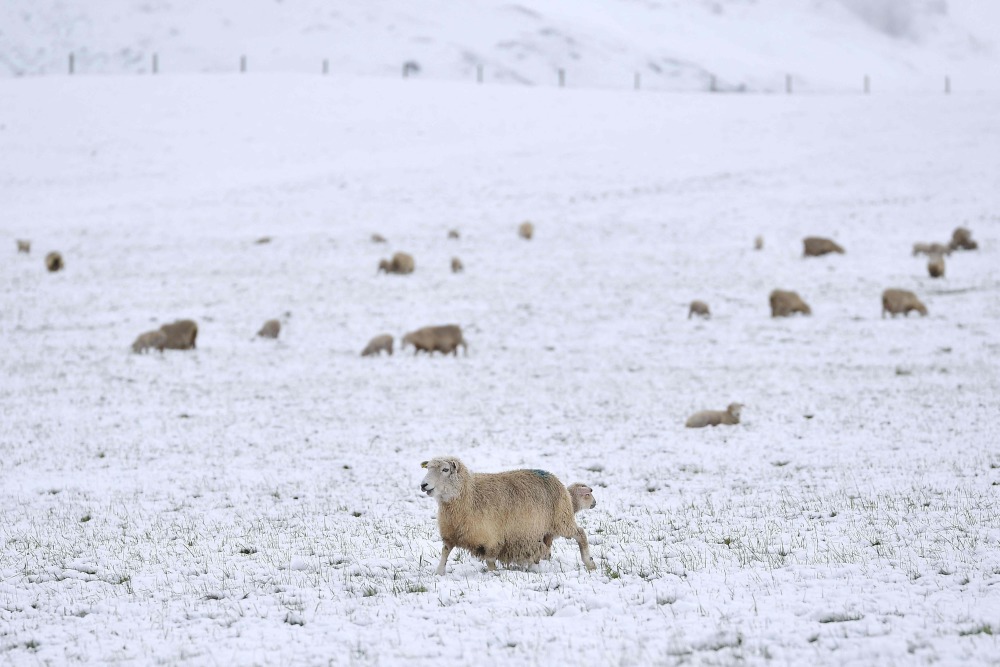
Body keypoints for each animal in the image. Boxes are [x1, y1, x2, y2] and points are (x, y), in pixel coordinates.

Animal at [420, 456, 592, 576]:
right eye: (427, 468)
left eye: (445, 470)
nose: (423, 485)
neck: (470, 495)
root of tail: (554, 478)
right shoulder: (450, 533)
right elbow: (445, 552)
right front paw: (439, 572)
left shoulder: (493, 538)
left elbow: (490, 560)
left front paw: (494, 574)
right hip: (544, 531)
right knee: (547, 547)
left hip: (561, 521)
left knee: (580, 534)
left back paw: (589, 563)